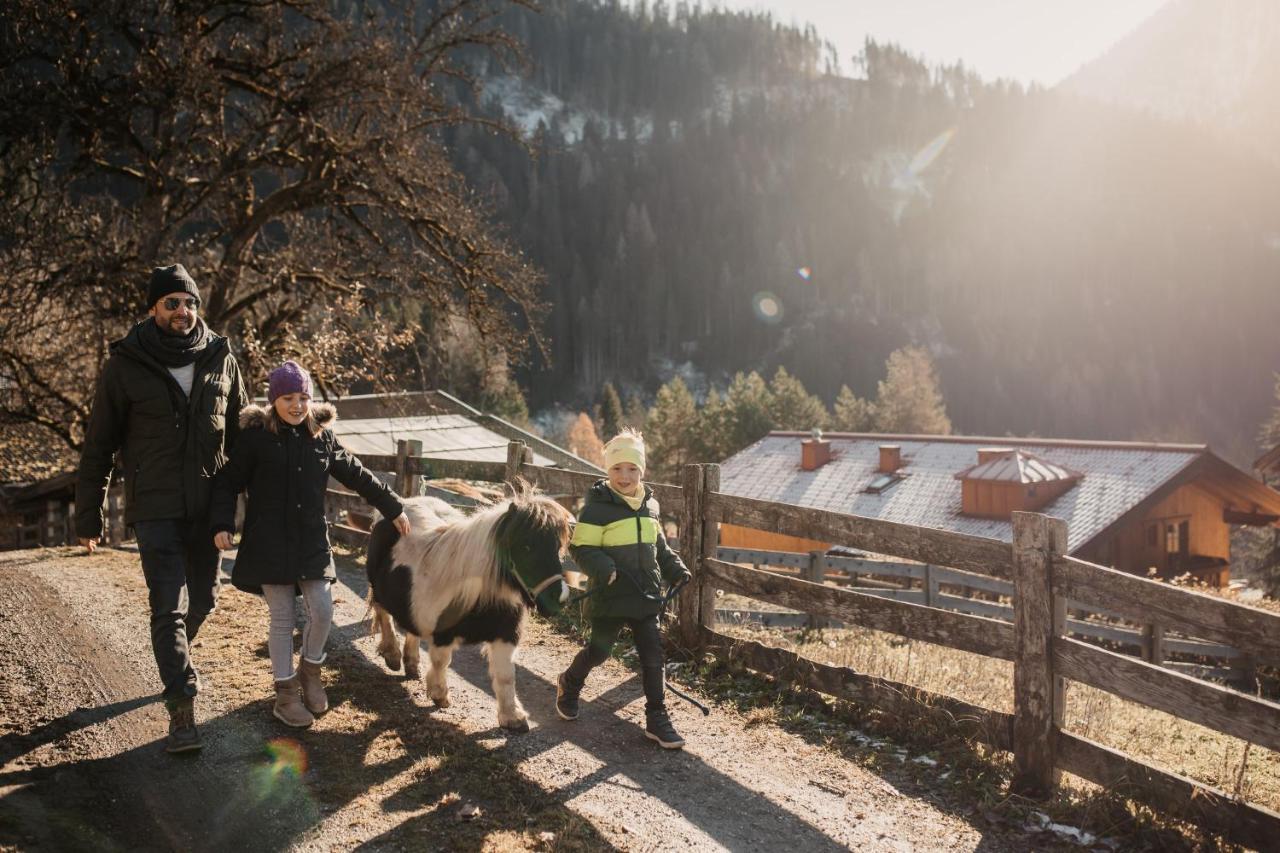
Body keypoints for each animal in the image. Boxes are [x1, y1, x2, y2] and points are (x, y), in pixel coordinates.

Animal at [366, 489, 576, 727]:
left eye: (557, 547)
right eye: (526, 546)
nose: (559, 598)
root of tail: (405, 502)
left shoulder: (506, 635)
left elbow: (506, 675)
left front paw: (512, 717)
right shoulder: (443, 634)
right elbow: (441, 661)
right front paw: (439, 694)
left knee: (410, 628)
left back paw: (411, 665)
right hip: (378, 588)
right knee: (384, 615)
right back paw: (392, 655)